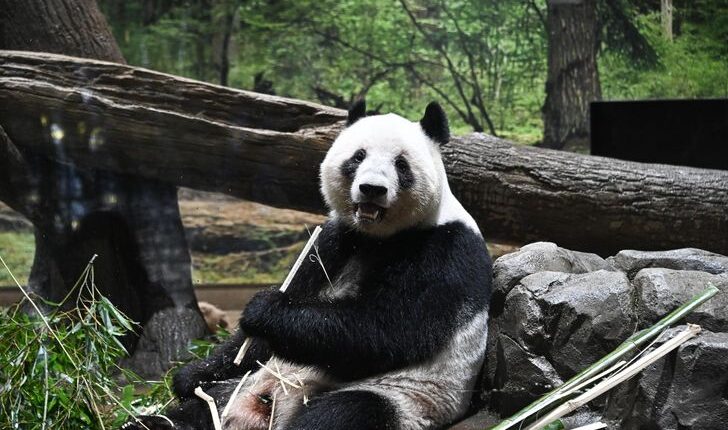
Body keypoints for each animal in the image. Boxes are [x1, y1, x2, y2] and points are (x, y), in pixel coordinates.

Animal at [124, 101, 492, 430]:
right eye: (358, 156)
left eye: (401, 164)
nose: (372, 189)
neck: (378, 237)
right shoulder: (334, 240)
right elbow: (258, 340)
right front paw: (190, 375)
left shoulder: (445, 250)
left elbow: (389, 328)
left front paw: (265, 309)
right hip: (239, 389)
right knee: (188, 415)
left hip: (403, 400)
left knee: (344, 414)